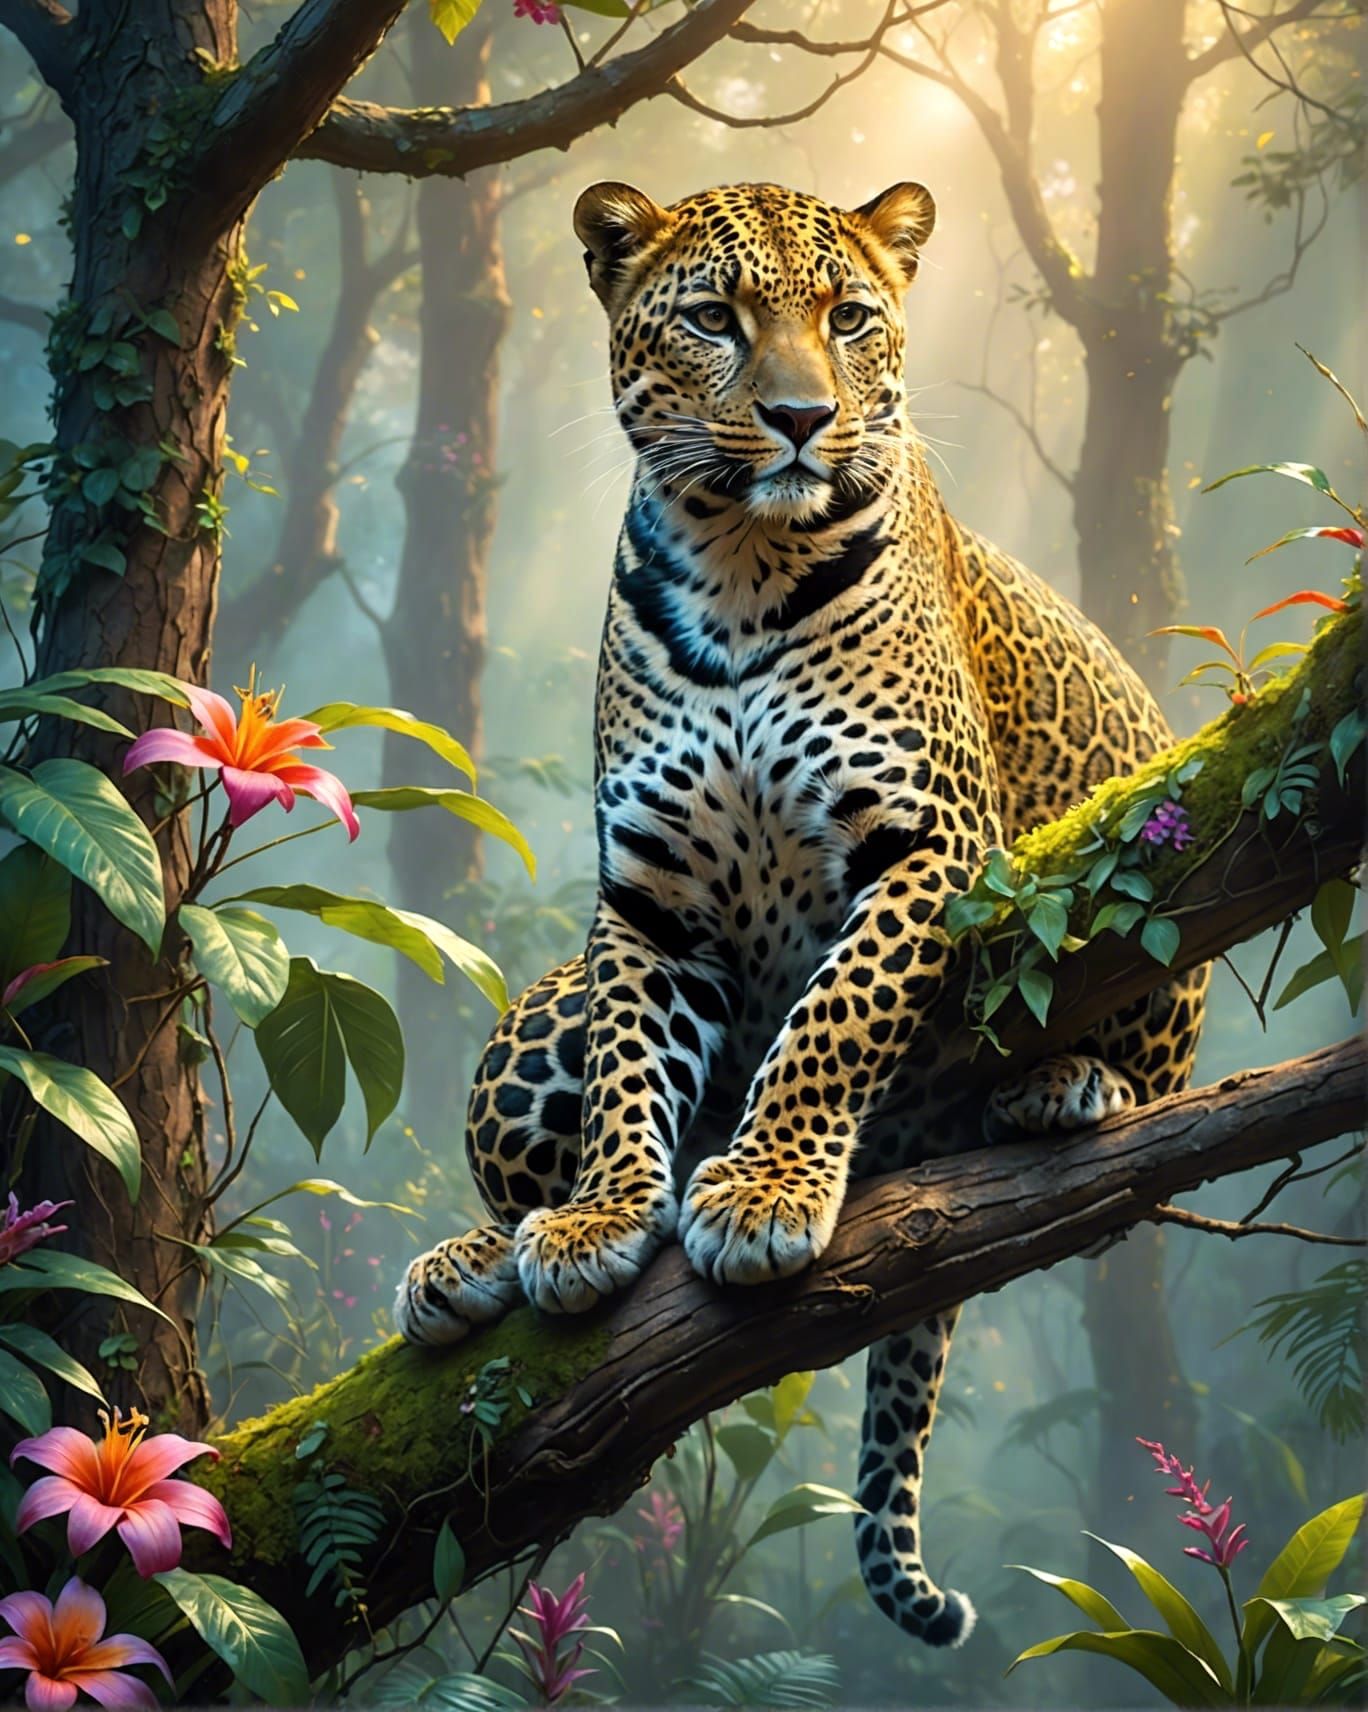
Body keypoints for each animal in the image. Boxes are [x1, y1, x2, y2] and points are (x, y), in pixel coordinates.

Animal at [395, 179, 1208, 1649]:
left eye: (850, 318)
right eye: (715, 319)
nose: (798, 417)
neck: (739, 562)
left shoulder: (934, 844)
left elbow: (833, 1019)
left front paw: (764, 1188)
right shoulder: (647, 896)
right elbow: (630, 1069)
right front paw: (605, 1216)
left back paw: (1060, 1089)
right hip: (531, 1018)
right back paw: (474, 1258)